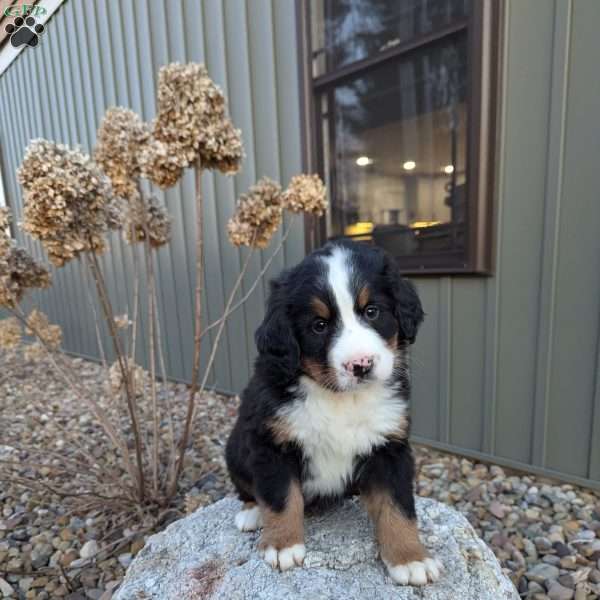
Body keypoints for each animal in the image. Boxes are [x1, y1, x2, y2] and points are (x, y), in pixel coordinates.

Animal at [225, 239, 440, 584]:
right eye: (319, 325)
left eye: (372, 311)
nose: (361, 364)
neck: (342, 399)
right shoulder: (271, 444)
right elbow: (281, 497)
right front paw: (283, 544)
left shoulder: (389, 446)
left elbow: (397, 506)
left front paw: (411, 558)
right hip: (235, 448)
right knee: (247, 489)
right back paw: (252, 512)